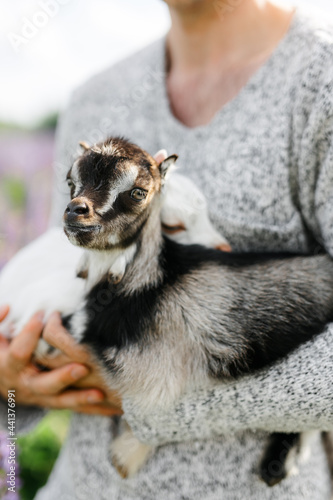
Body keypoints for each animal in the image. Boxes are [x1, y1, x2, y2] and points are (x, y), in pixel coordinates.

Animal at [57, 136, 332, 484]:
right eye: (70, 181)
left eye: (138, 192)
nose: (76, 212)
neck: (146, 282)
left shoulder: (156, 377)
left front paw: (124, 457)